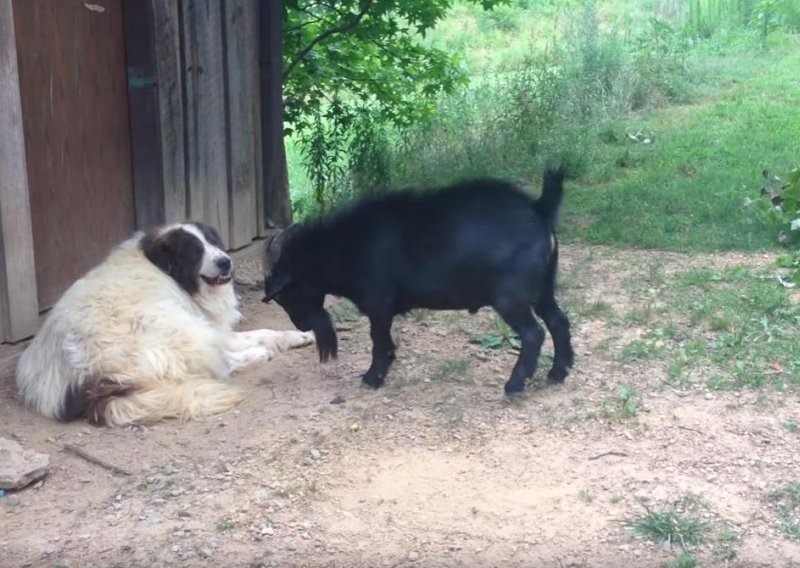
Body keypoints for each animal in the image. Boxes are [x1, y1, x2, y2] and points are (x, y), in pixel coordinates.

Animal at [15, 222, 314, 426]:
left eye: (214, 242)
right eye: (195, 252)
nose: (225, 261)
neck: (163, 267)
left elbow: (264, 332)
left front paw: (299, 336)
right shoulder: (208, 327)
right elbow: (254, 336)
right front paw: (275, 344)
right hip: (173, 325)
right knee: (219, 365)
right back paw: (258, 355)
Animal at [266, 169, 572, 394]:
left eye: (282, 294)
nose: (301, 325)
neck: (346, 245)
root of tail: (539, 209)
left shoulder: (378, 303)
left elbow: (377, 338)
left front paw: (373, 377)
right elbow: (385, 340)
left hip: (510, 297)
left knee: (533, 333)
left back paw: (515, 385)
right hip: (543, 289)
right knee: (558, 321)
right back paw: (558, 372)